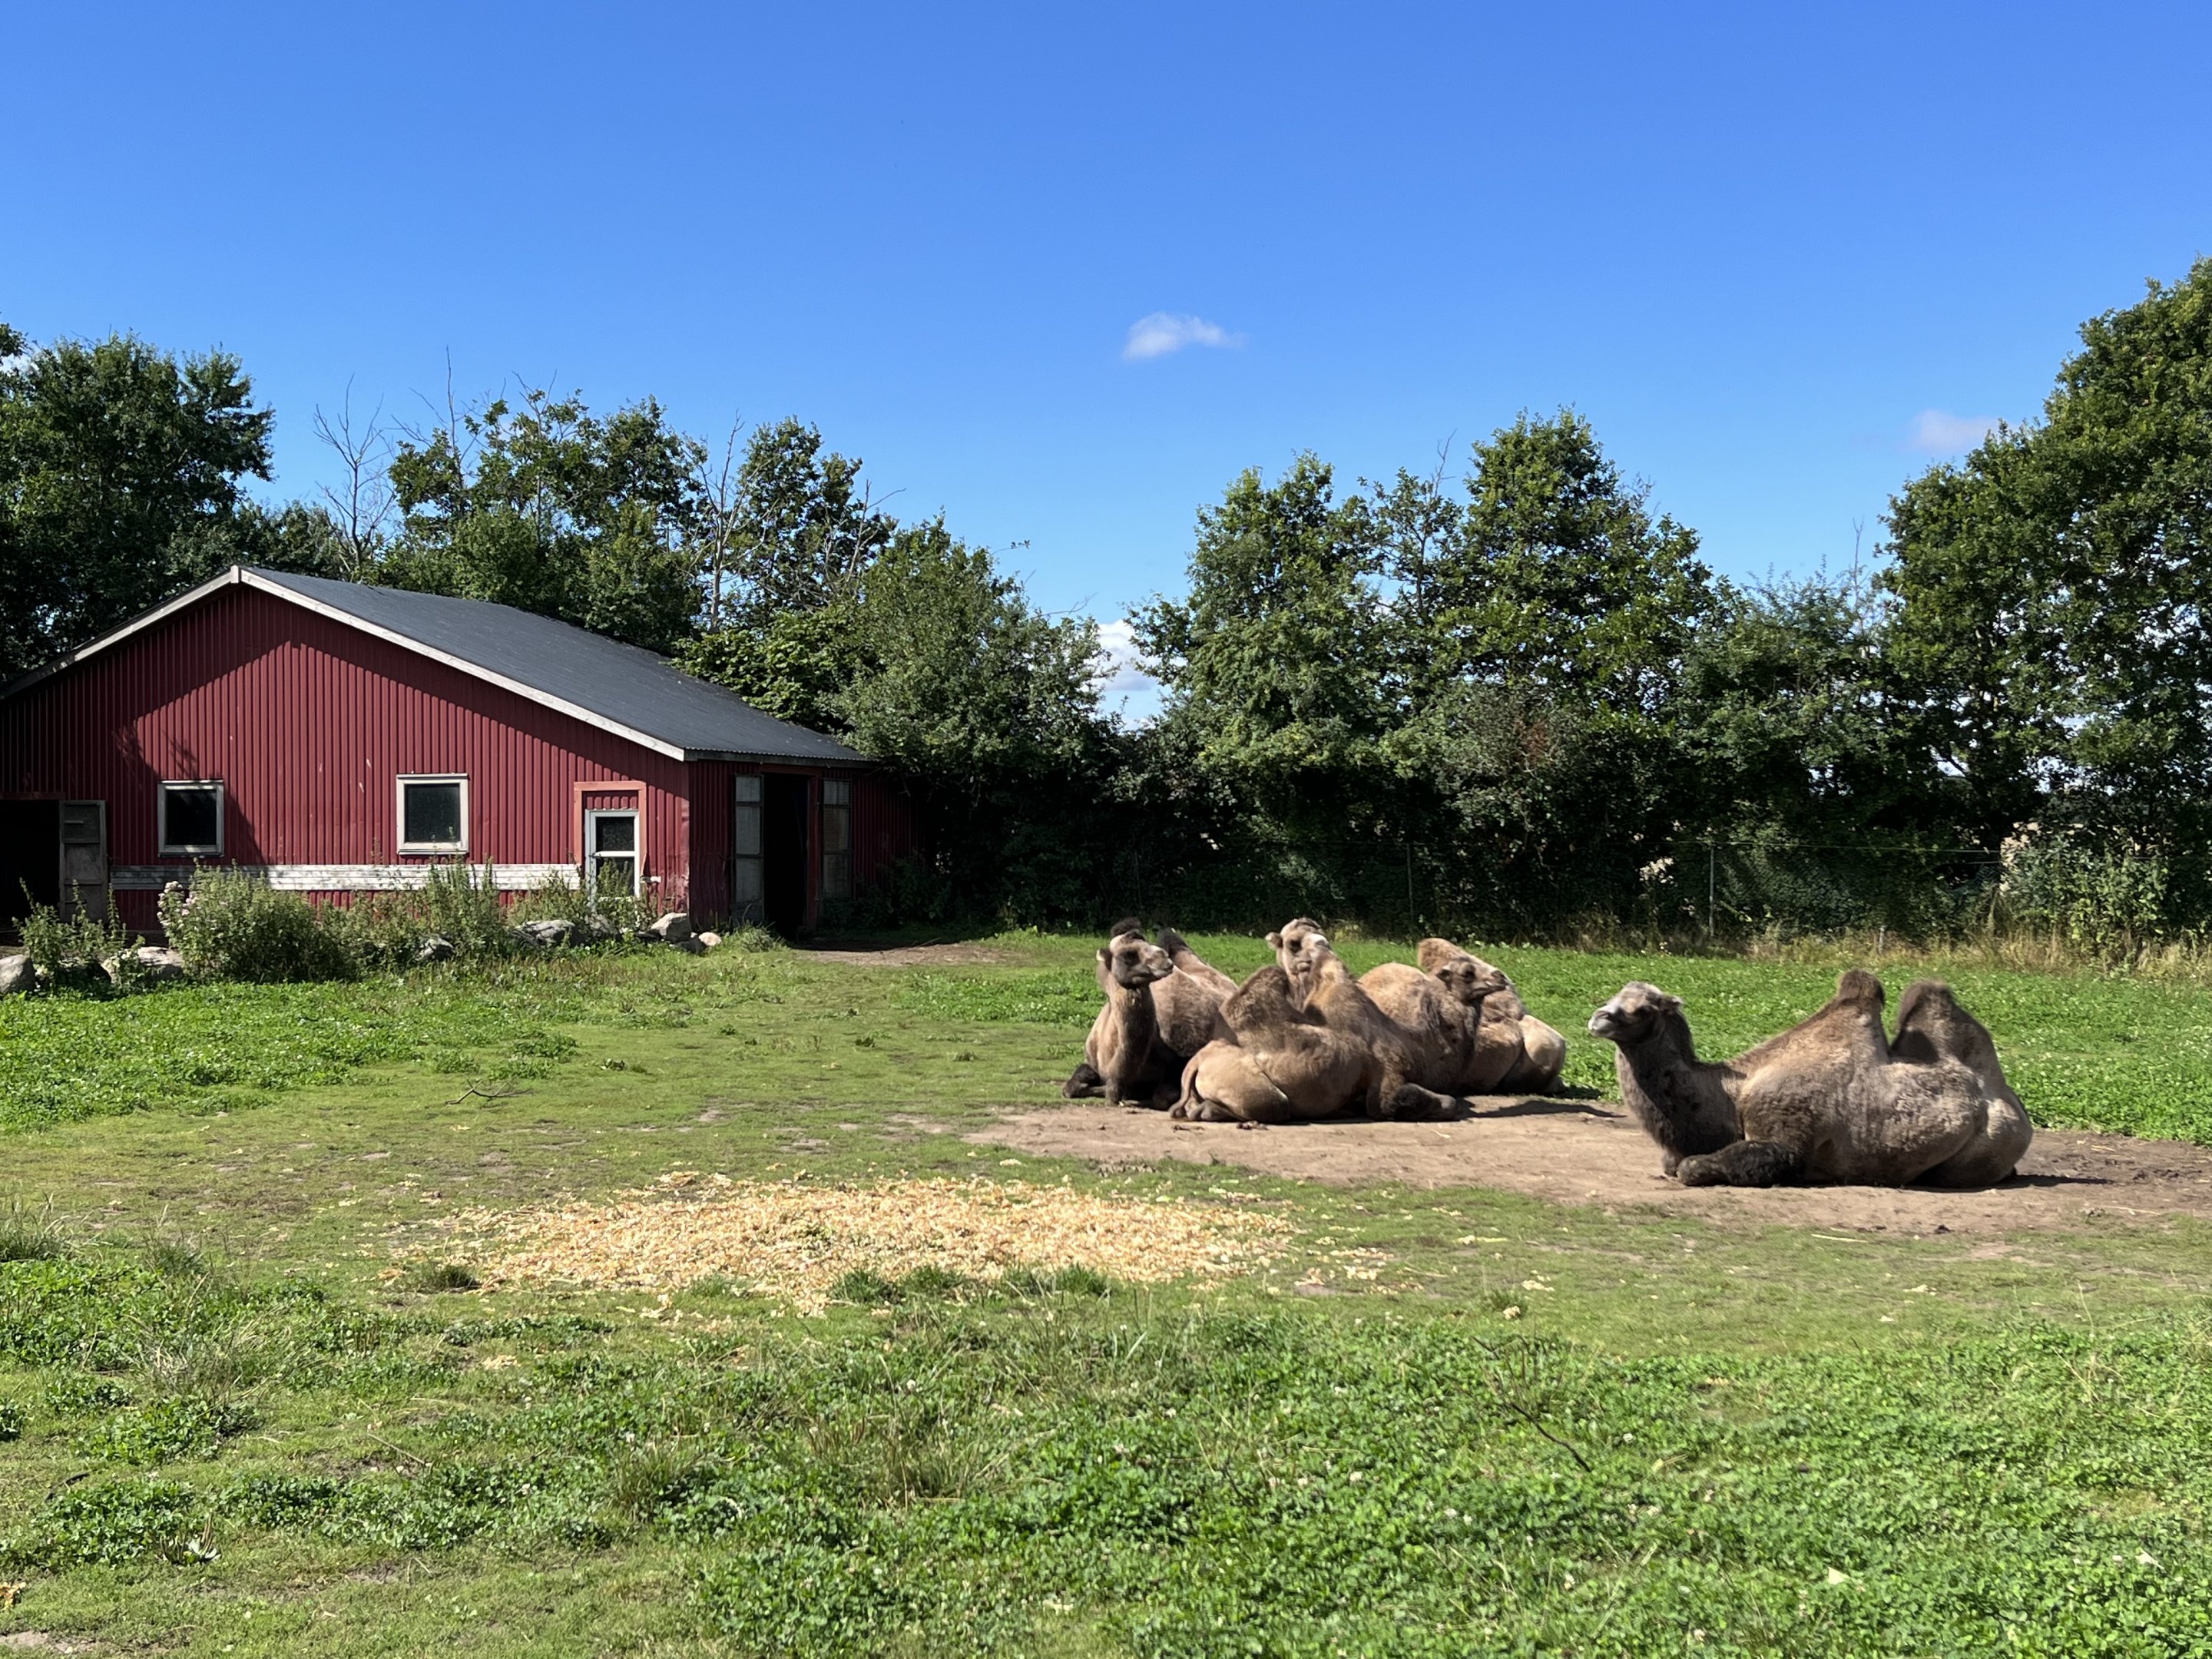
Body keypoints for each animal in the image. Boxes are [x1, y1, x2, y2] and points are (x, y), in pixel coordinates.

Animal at [1064, 920, 1233, 1107]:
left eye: (1146, 943)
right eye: (1128, 955)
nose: (1164, 958)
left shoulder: (1178, 1060)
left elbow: (1162, 1096)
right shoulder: (1092, 1062)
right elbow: (1071, 1087)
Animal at [1586, 970, 2032, 1187]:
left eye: (1644, 1008)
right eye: (1614, 996)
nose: (1598, 1018)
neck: (1729, 1095)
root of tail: (2013, 1106)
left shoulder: (1785, 1135)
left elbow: (1691, 1168)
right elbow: (1672, 1163)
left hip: (1986, 1147)